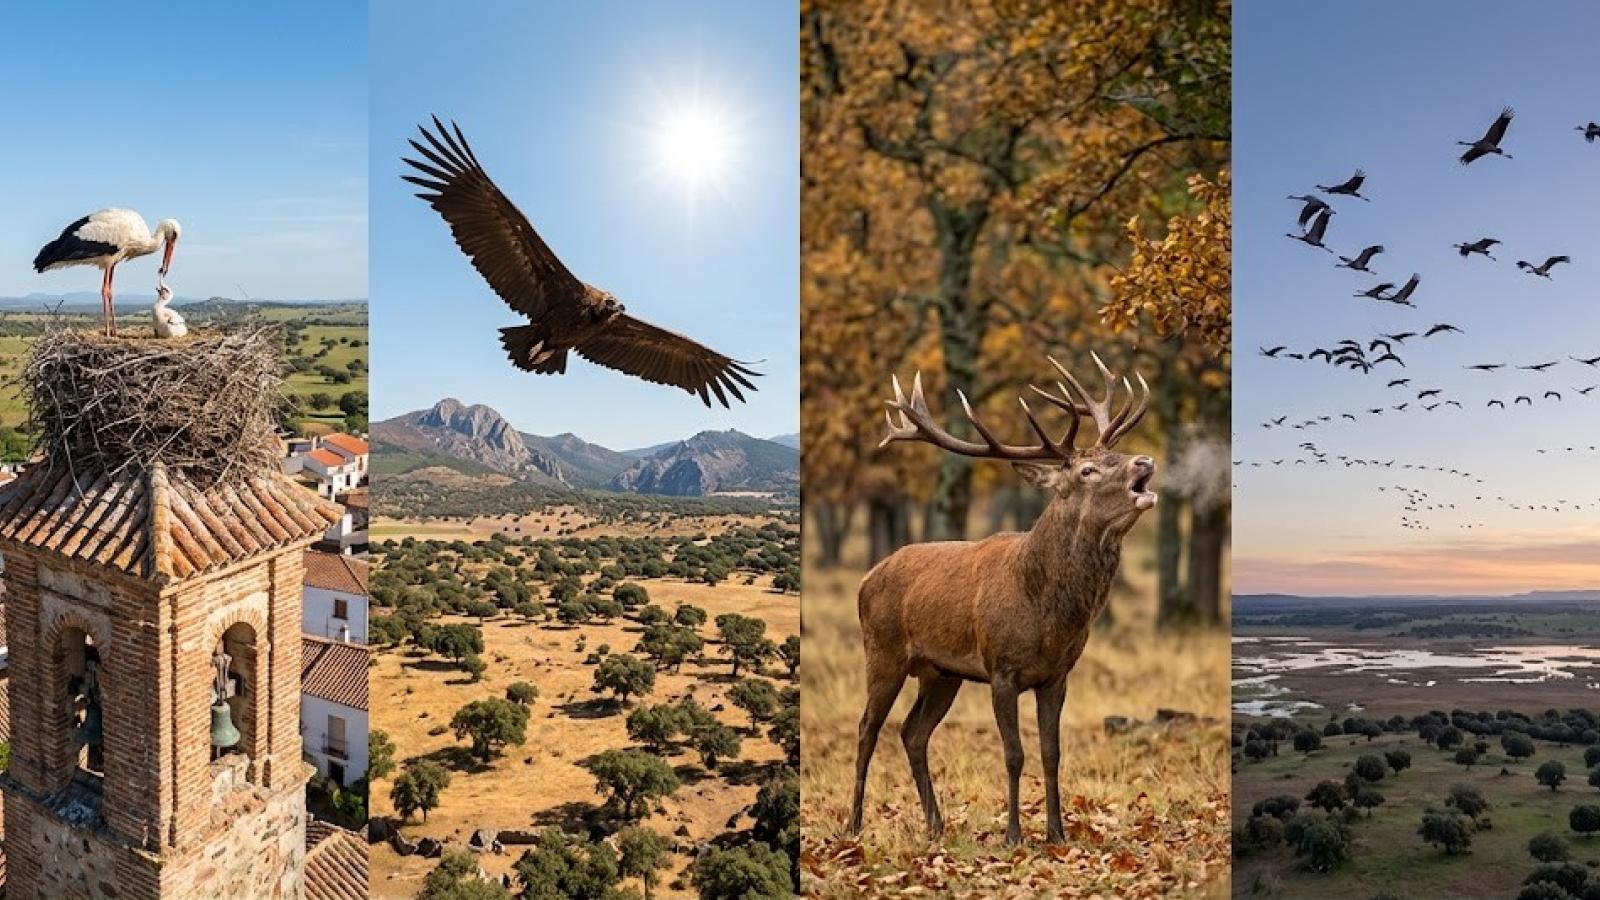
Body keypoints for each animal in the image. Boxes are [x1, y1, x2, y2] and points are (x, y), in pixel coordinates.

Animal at [847, 353, 1157, 846]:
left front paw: (1056, 833)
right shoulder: (1001, 669)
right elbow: (1014, 753)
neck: (1047, 616)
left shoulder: (1057, 675)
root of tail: (866, 578)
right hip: (883, 650)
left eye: (1114, 454)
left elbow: (1051, 752)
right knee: (867, 729)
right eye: (1087, 471)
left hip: (941, 673)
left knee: (913, 733)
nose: (1144, 460)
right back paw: (854, 824)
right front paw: (1013, 834)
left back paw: (936, 825)